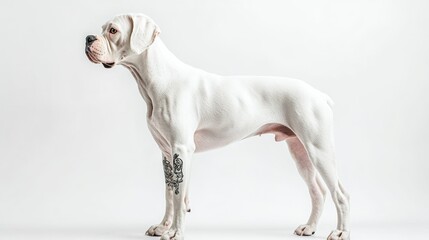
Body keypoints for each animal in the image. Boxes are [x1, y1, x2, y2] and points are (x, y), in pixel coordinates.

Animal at [85, 13, 350, 240]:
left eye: (113, 30)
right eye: (101, 29)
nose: (88, 39)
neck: (159, 79)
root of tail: (320, 95)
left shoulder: (182, 150)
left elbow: (179, 198)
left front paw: (175, 232)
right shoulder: (167, 154)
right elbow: (170, 195)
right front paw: (163, 226)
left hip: (320, 151)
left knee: (340, 194)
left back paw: (340, 232)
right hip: (300, 152)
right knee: (318, 192)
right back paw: (310, 227)